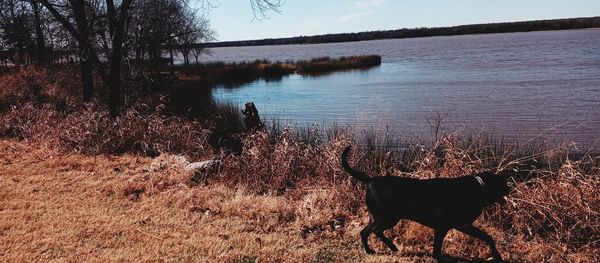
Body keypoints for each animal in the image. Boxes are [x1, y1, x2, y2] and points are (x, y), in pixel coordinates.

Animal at [340, 146, 508, 262]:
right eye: (504, 184)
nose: (509, 188)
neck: (479, 187)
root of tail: (370, 180)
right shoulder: (443, 227)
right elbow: (437, 249)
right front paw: (439, 259)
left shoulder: (464, 225)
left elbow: (488, 237)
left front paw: (497, 256)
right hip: (386, 217)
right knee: (368, 232)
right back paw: (371, 250)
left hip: (383, 217)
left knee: (373, 231)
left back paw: (390, 247)